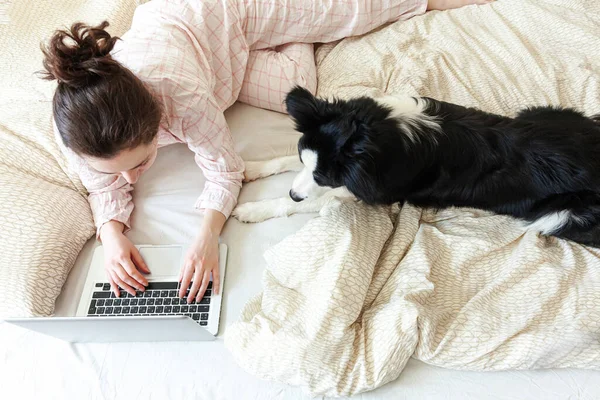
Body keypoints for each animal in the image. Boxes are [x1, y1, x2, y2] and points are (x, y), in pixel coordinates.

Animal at [236, 87, 600, 247]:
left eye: (325, 176)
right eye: (304, 160)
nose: (293, 193)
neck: (376, 133)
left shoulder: (372, 191)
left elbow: (314, 200)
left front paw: (255, 208)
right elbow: (284, 158)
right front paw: (252, 168)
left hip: (562, 216)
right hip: (539, 113)